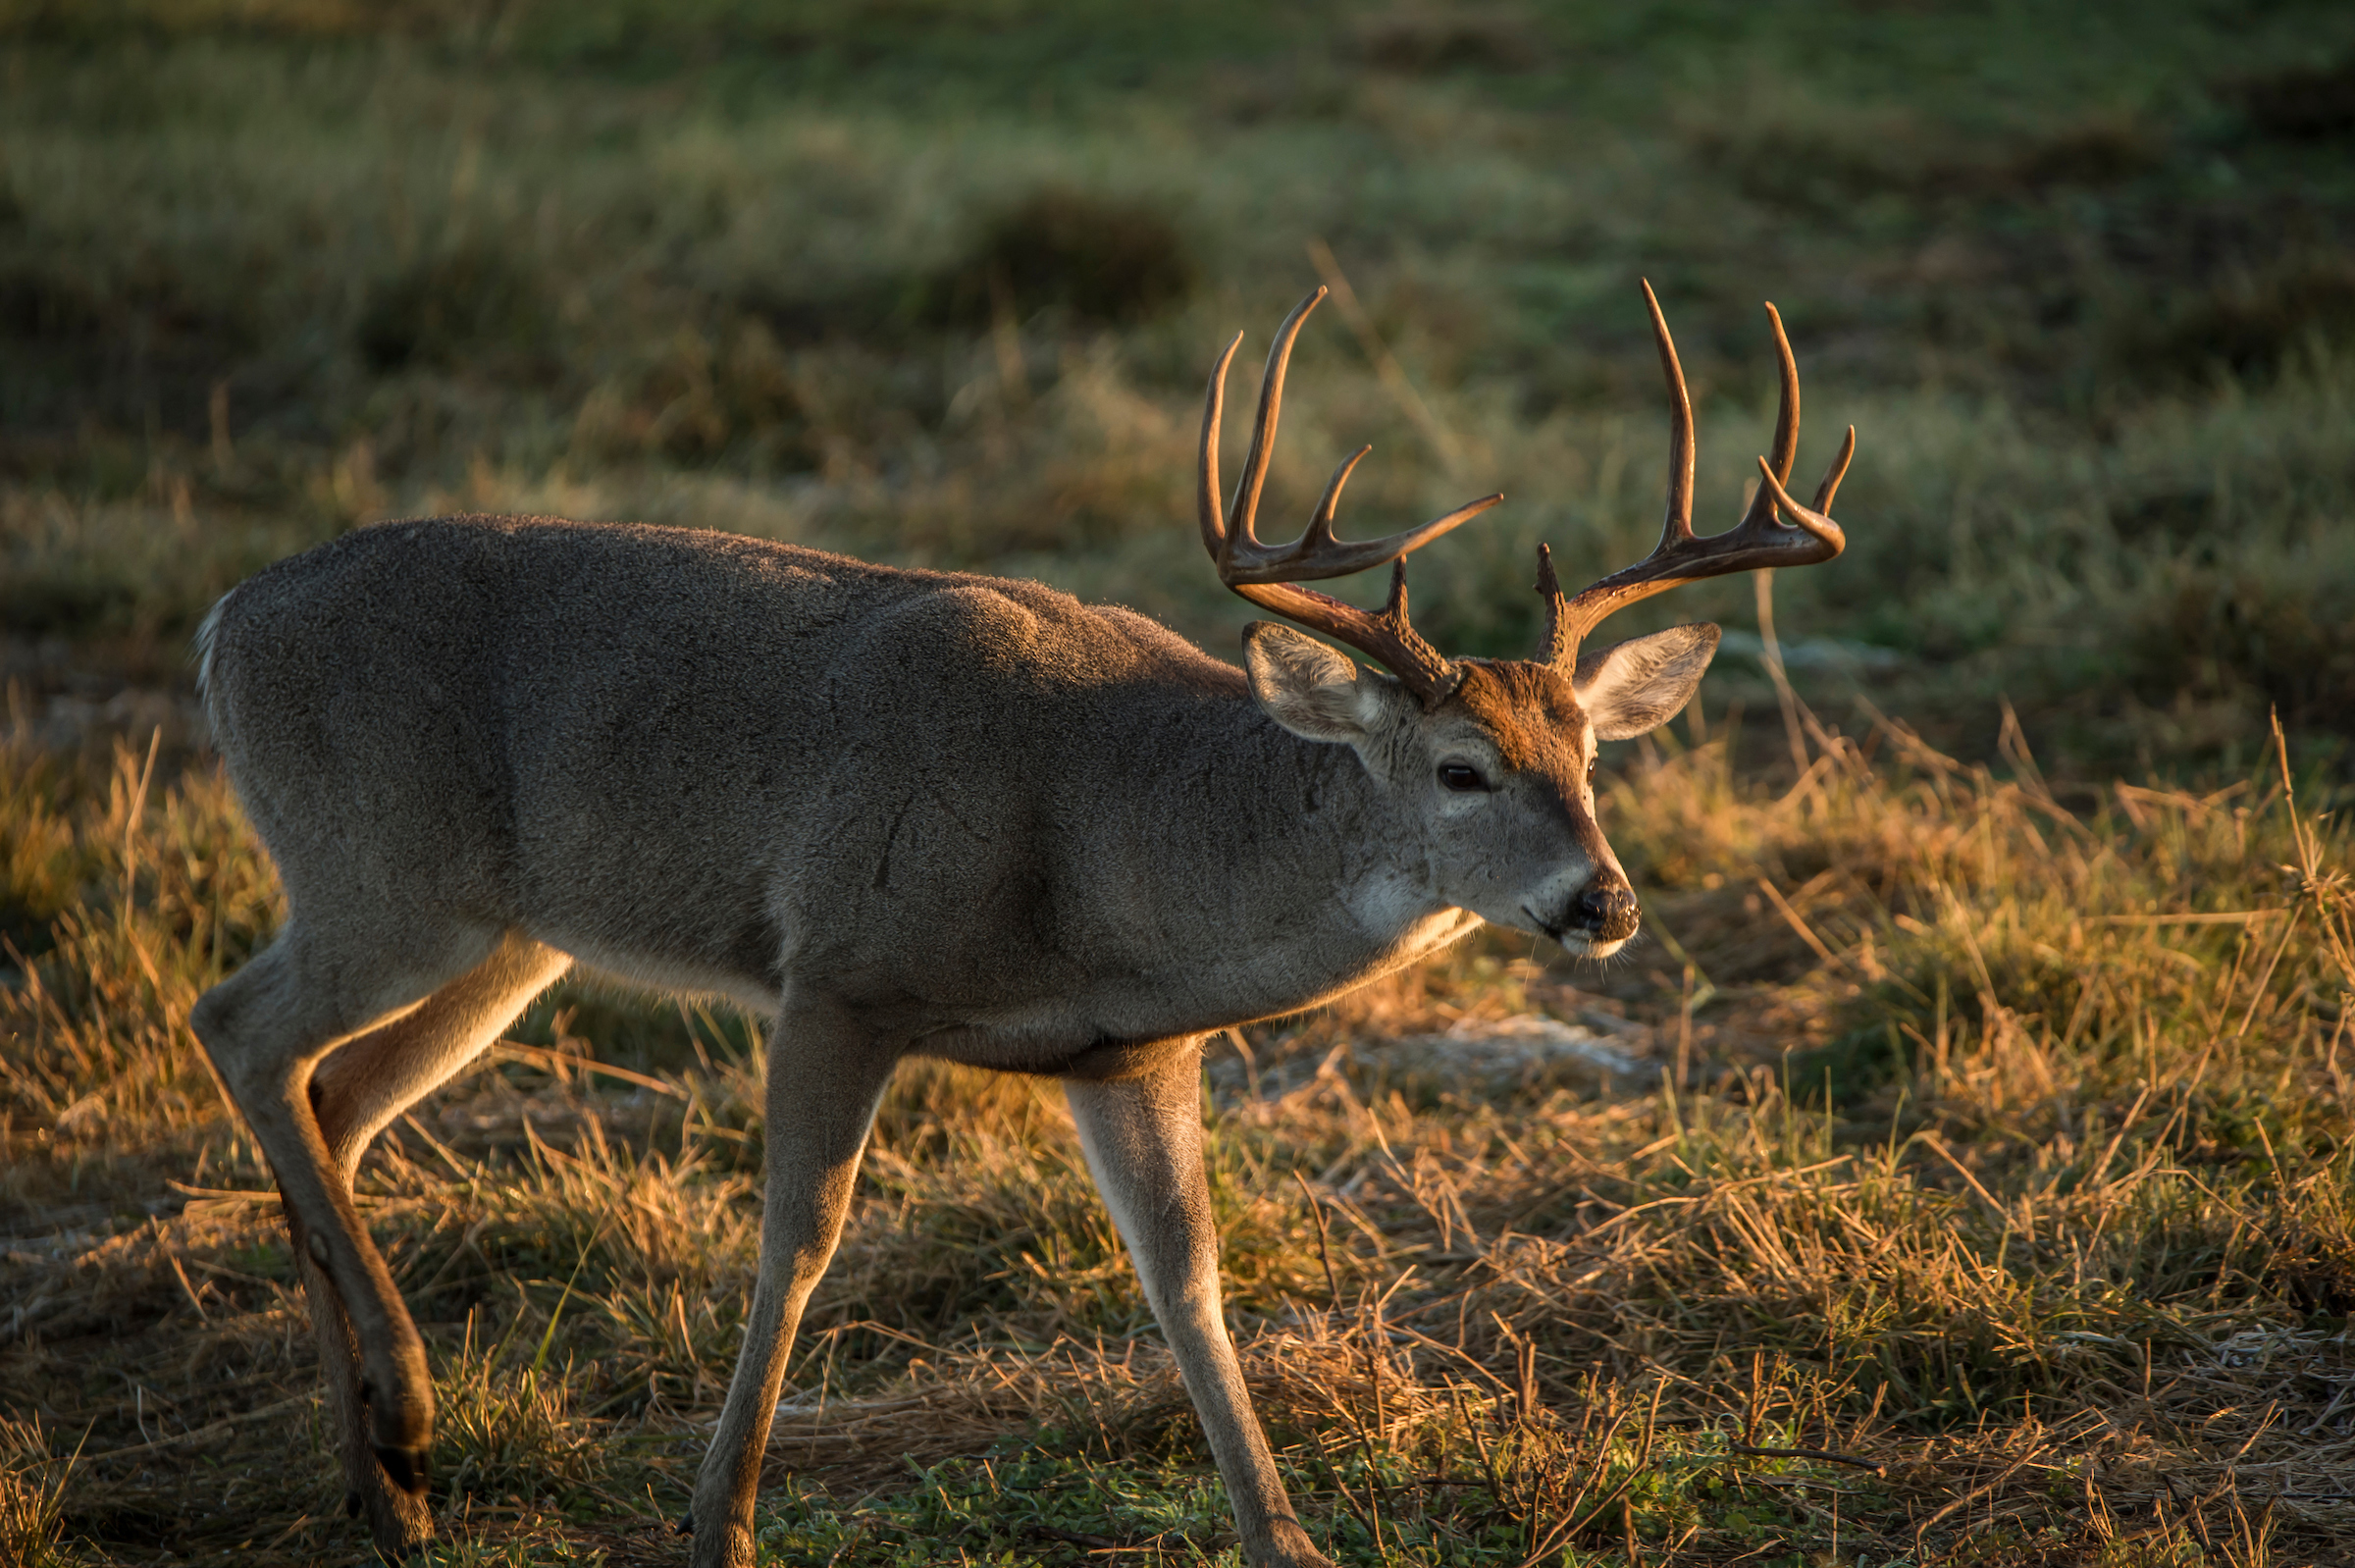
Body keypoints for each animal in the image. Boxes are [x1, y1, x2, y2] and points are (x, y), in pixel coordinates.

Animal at [192, 281, 1846, 1563]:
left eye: (1593, 758)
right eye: (1462, 767)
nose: (1602, 899)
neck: (1096, 842)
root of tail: (221, 621)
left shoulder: (1128, 1048)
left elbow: (1188, 1275)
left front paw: (1285, 1534)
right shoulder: (838, 970)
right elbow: (798, 1239)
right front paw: (720, 1520)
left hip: (510, 935)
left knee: (335, 1095)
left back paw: (385, 1484)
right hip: (387, 870)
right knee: (239, 1027)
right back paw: (406, 1416)